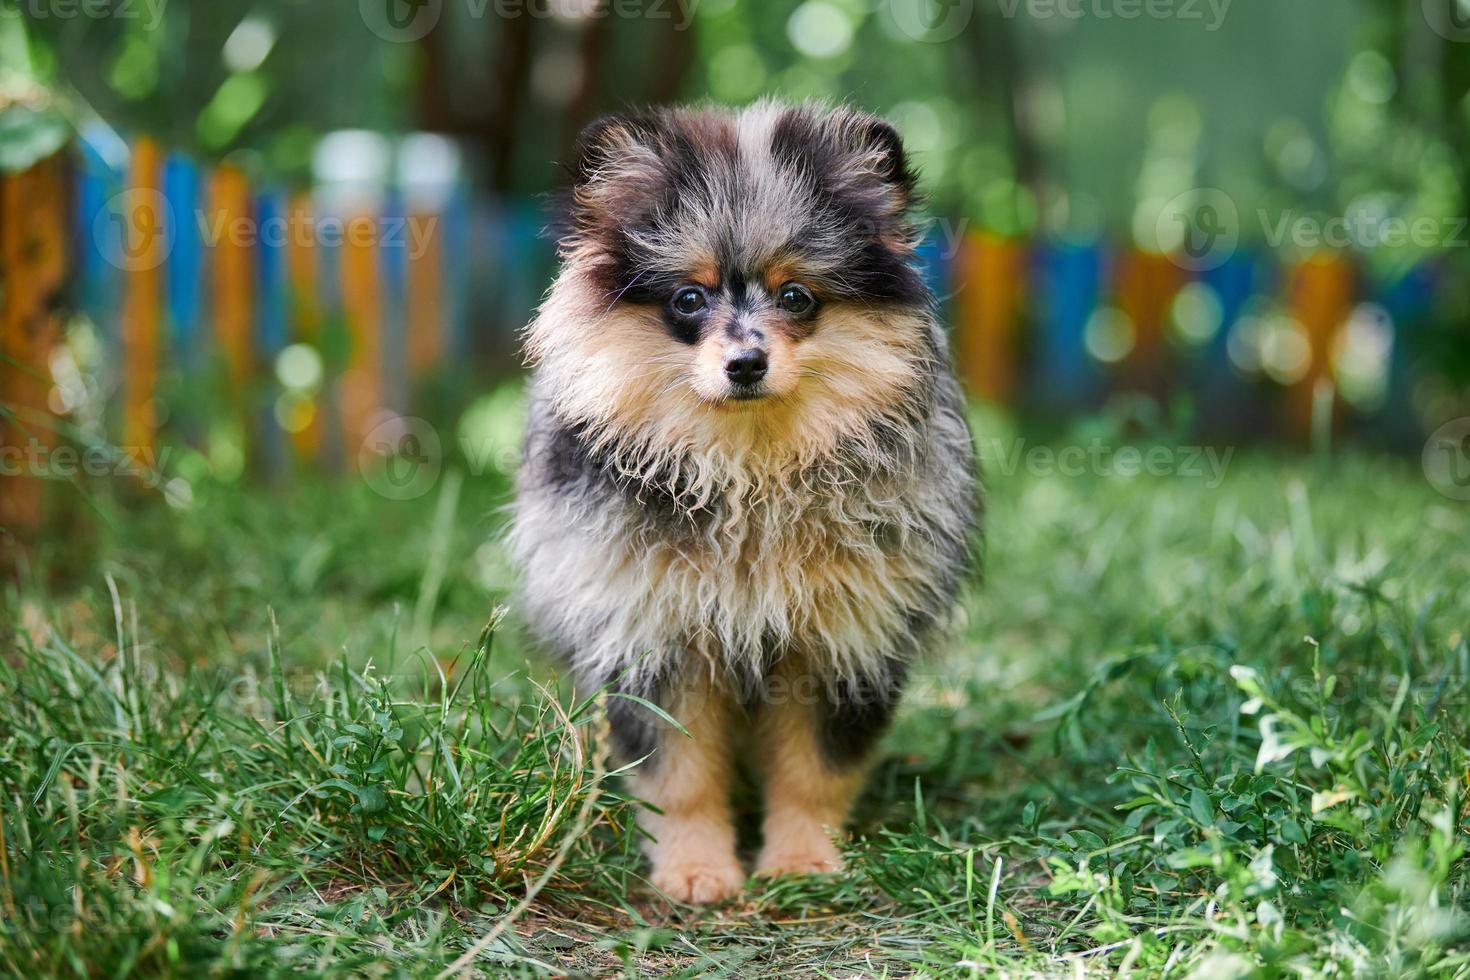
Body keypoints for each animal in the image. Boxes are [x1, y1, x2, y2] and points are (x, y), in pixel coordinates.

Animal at [511, 99, 981, 905]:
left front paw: (802, 862)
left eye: (796, 296)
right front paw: (695, 869)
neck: (748, 471)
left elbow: (813, 771)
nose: (746, 362)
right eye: (688, 298)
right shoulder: (652, 634)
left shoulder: (842, 638)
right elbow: (680, 776)